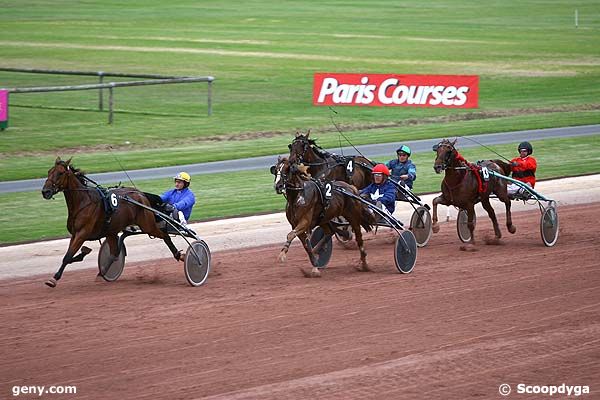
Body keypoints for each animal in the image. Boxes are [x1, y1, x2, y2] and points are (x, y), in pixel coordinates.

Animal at [40, 157, 183, 288]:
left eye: (60, 173)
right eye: (49, 171)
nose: (45, 191)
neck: (83, 202)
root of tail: (140, 194)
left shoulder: (82, 233)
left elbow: (68, 256)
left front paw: (54, 278)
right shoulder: (75, 234)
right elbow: (70, 256)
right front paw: (84, 252)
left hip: (147, 225)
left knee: (165, 235)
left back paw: (179, 255)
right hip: (112, 231)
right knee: (114, 253)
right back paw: (102, 274)